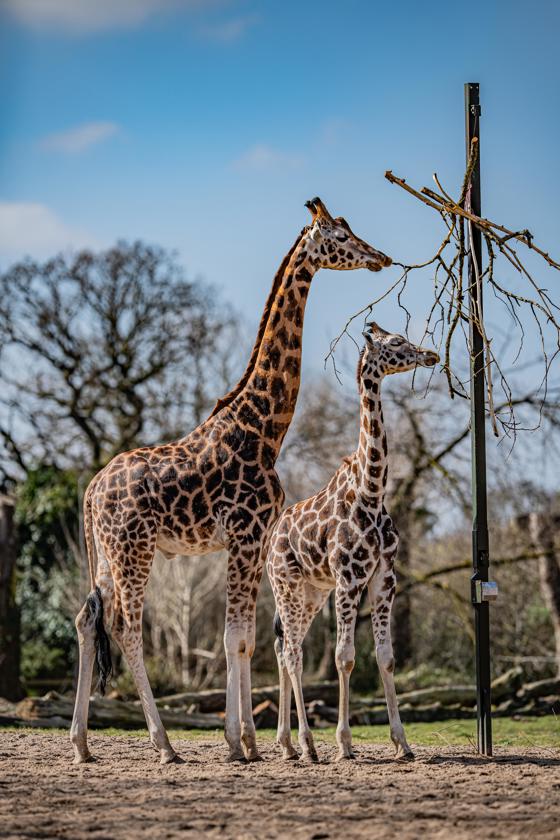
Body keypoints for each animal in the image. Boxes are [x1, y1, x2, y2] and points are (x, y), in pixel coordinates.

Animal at [70, 198, 392, 765]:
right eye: (339, 237)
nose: (381, 257)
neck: (263, 429)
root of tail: (90, 490)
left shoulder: (253, 540)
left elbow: (246, 639)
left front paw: (250, 743)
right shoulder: (244, 535)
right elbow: (235, 638)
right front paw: (240, 742)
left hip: (108, 554)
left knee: (88, 620)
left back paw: (82, 745)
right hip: (135, 549)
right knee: (126, 628)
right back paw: (164, 745)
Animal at [267, 322, 439, 762]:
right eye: (396, 342)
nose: (430, 355)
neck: (372, 491)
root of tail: (272, 538)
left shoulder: (383, 579)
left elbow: (386, 658)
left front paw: (402, 742)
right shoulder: (349, 579)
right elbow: (344, 658)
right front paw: (344, 743)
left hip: (312, 593)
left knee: (283, 649)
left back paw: (287, 744)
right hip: (286, 586)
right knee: (292, 654)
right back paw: (308, 745)